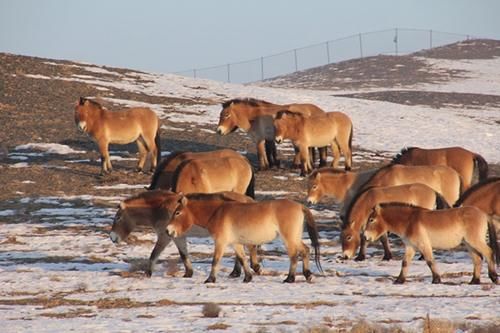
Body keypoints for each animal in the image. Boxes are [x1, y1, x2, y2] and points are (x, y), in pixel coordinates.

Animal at [109, 189, 254, 278]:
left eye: (118, 218)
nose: (112, 237)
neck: (159, 207)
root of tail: (248, 200)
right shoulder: (178, 237)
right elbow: (183, 254)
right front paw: (188, 273)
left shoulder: (166, 236)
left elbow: (154, 254)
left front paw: (148, 273)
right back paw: (236, 272)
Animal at [366, 201, 498, 284]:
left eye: (371, 220)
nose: (366, 236)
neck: (410, 221)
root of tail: (483, 214)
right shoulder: (411, 246)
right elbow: (405, 263)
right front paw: (399, 280)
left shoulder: (423, 245)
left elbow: (430, 261)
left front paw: (436, 280)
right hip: (469, 244)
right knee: (477, 259)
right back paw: (474, 281)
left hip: (474, 241)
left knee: (489, 252)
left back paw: (494, 277)